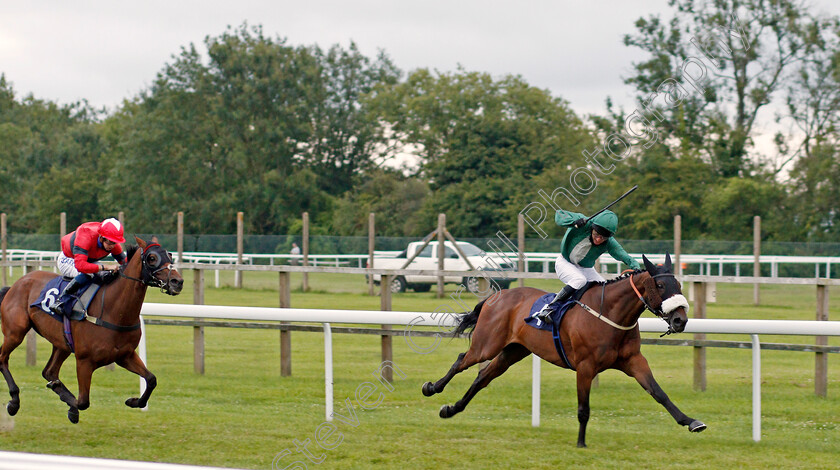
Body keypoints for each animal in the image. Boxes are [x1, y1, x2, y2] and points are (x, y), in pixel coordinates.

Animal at [0, 237, 183, 424]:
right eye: (152, 258)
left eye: (170, 255)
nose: (177, 282)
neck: (114, 310)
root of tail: (15, 285)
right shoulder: (84, 361)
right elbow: (83, 401)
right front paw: (69, 402)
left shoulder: (125, 355)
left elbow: (151, 379)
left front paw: (133, 401)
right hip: (15, 333)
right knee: (2, 359)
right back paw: (14, 401)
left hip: (62, 343)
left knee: (49, 371)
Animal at [424, 253, 704, 448]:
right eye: (660, 286)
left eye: (679, 285)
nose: (680, 320)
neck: (610, 314)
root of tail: (496, 296)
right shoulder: (586, 366)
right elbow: (583, 408)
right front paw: (581, 442)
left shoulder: (634, 360)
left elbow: (659, 393)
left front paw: (691, 421)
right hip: (487, 345)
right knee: (462, 360)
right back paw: (432, 388)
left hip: (513, 351)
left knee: (482, 377)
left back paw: (452, 409)